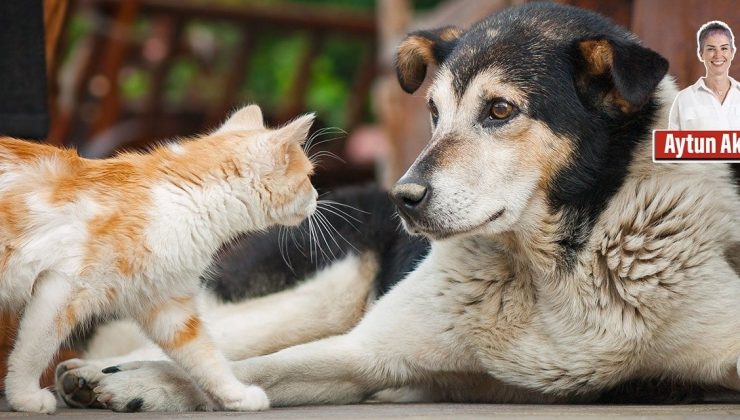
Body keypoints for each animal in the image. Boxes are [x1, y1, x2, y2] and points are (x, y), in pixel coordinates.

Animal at [0, 105, 316, 414]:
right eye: (309, 177)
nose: (316, 196)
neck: (185, 197)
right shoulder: (62, 287)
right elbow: (35, 347)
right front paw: (24, 396)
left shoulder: (167, 303)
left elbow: (204, 355)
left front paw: (236, 395)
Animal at [56, 3, 740, 410]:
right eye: (433, 113)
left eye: (500, 110)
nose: (403, 199)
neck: (554, 274)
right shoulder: (363, 352)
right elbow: (250, 367)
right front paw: (142, 383)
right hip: (321, 291)